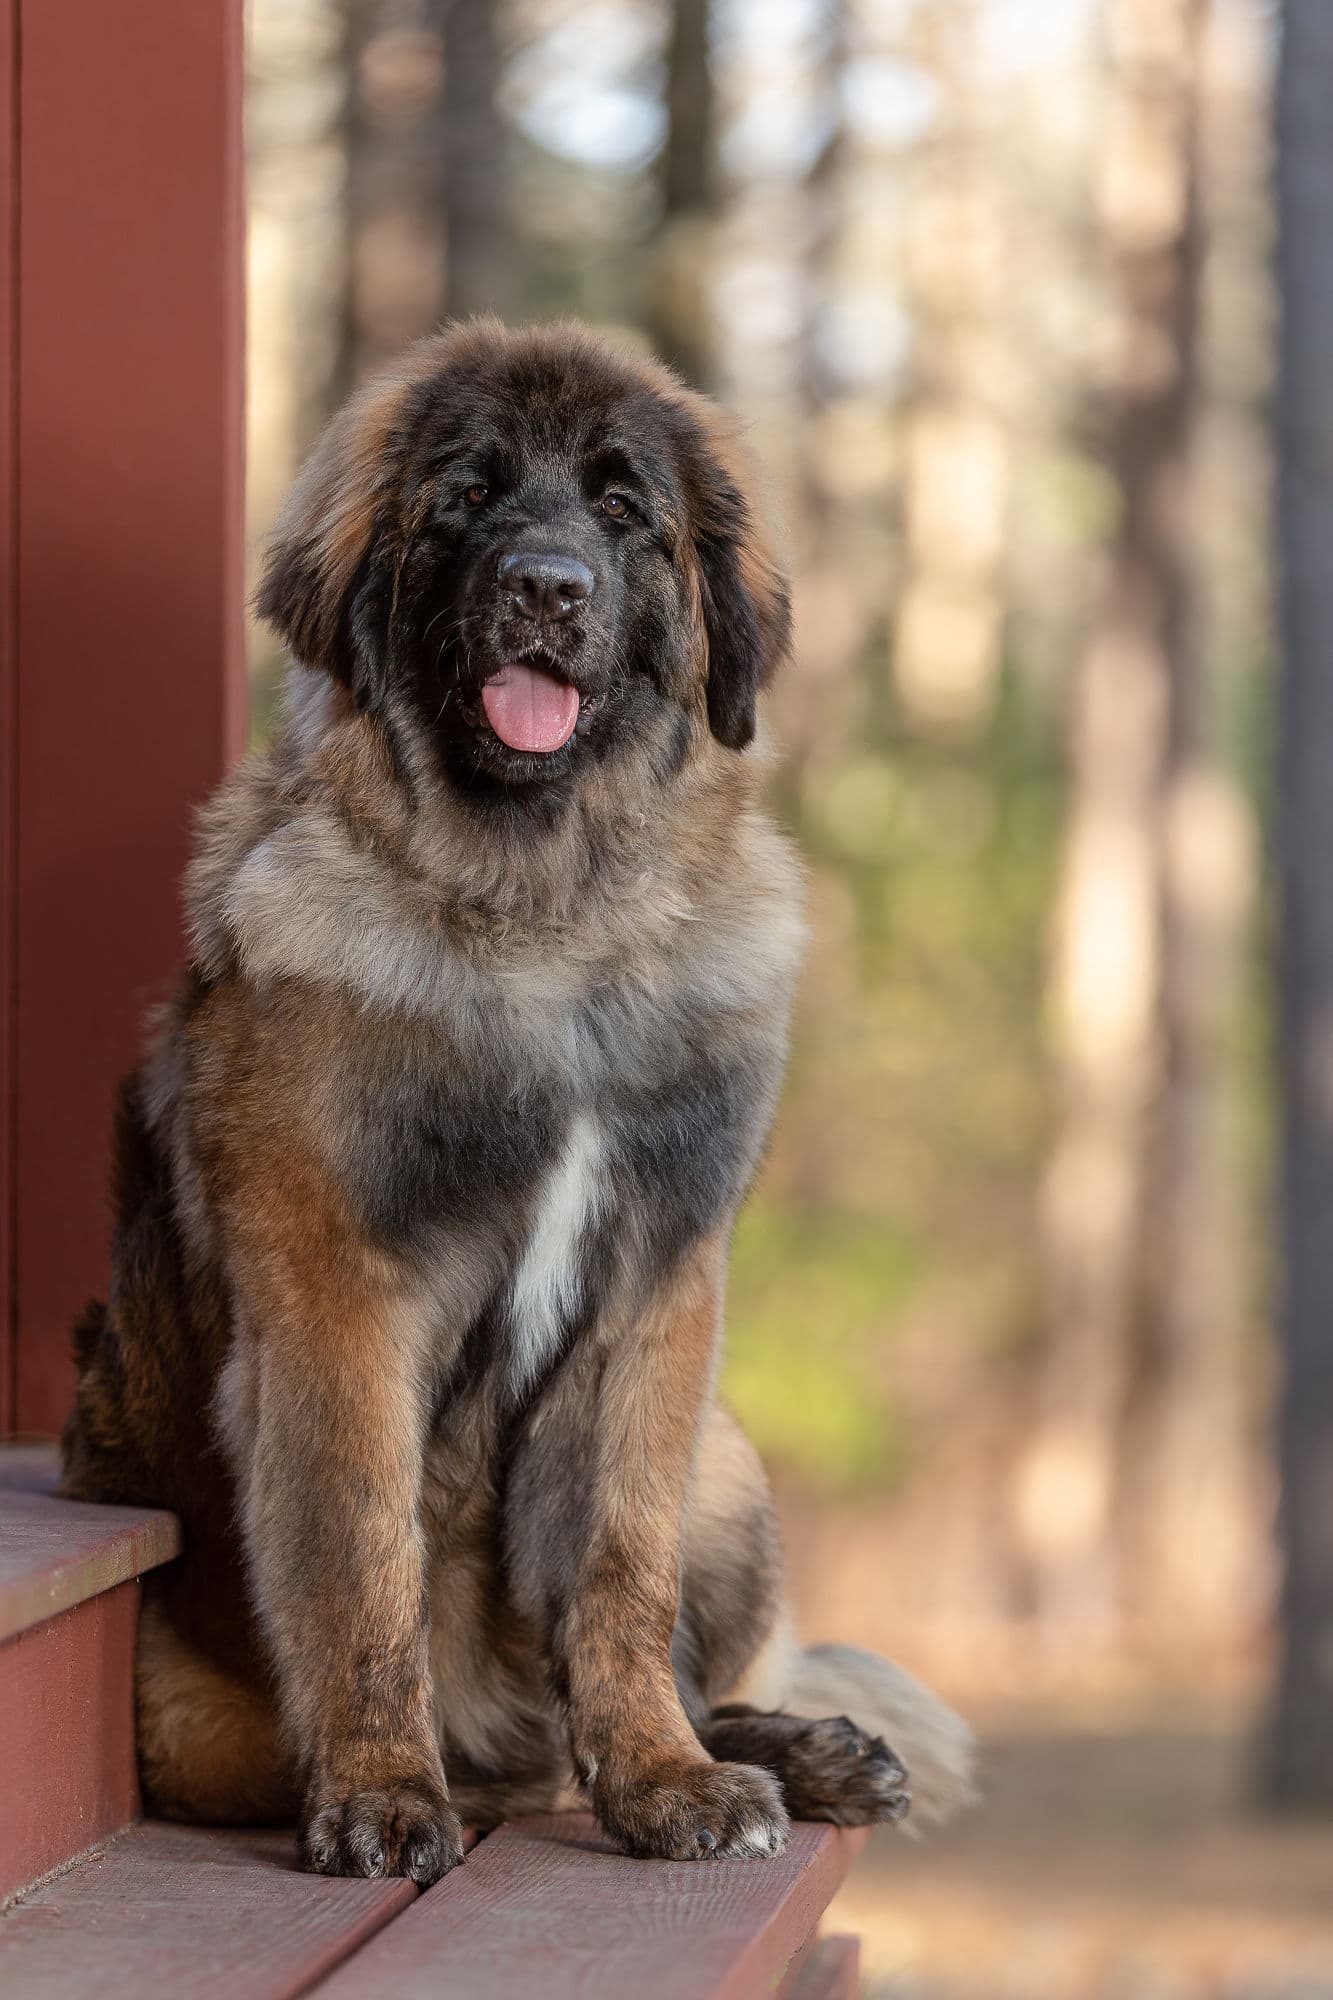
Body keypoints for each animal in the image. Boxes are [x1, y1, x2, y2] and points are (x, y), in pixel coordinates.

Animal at [62, 320, 972, 1880]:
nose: (547, 586)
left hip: (728, 1452)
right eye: (466, 498)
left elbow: (616, 1568)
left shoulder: (657, 1290)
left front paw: (663, 1778)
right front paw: (382, 1791)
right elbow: (364, 1558)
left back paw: (796, 1750)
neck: (548, 920)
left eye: (618, 507)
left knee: (674, 1663)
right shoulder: (339, 1296)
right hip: (188, 1719)